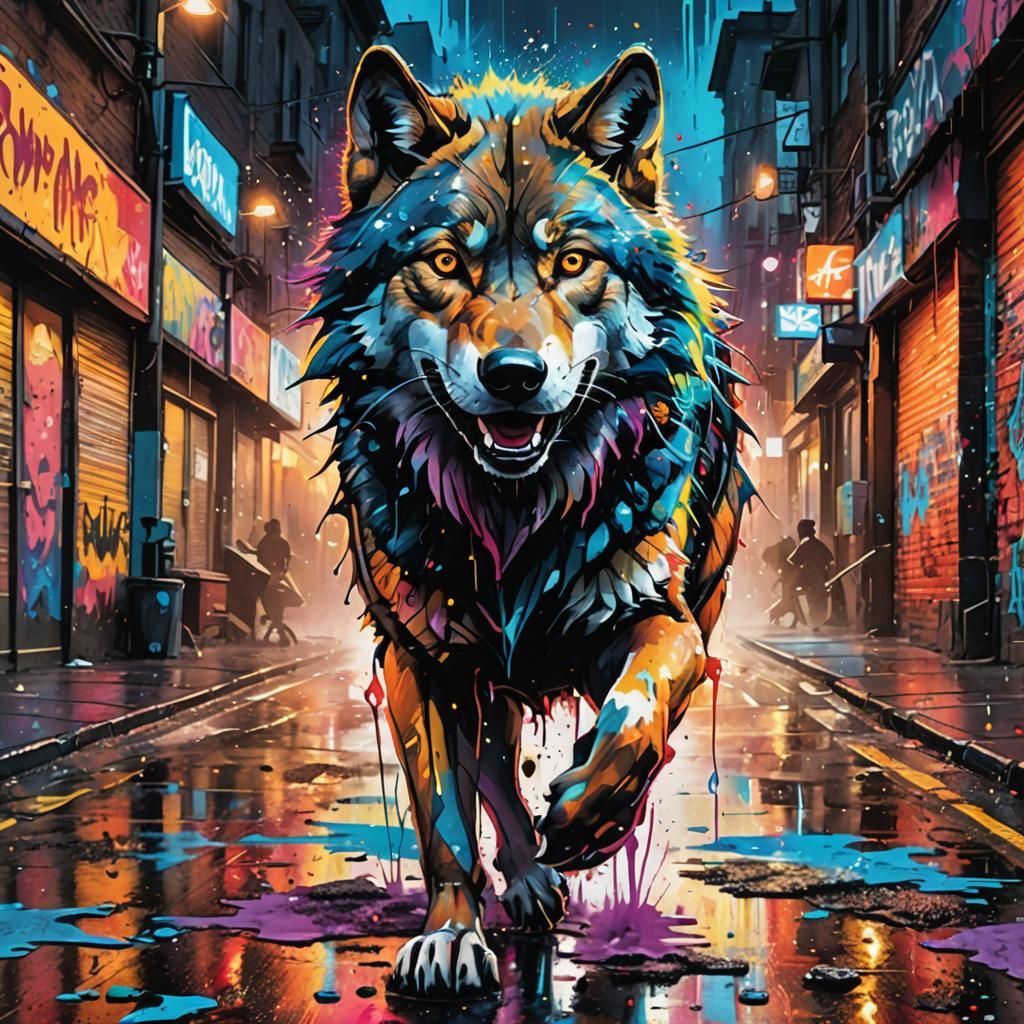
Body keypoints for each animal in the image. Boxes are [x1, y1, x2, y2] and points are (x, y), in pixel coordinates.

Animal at [302, 44, 750, 999]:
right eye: (444, 259)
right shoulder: (419, 659)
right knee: (498, 766)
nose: (514, 375)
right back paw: (528, 879)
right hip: (475, 668)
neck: (515, 517)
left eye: (572, 260)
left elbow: (635, 716)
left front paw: (589, 813)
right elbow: (446, 815)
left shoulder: (663, 623)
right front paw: (450, 934)